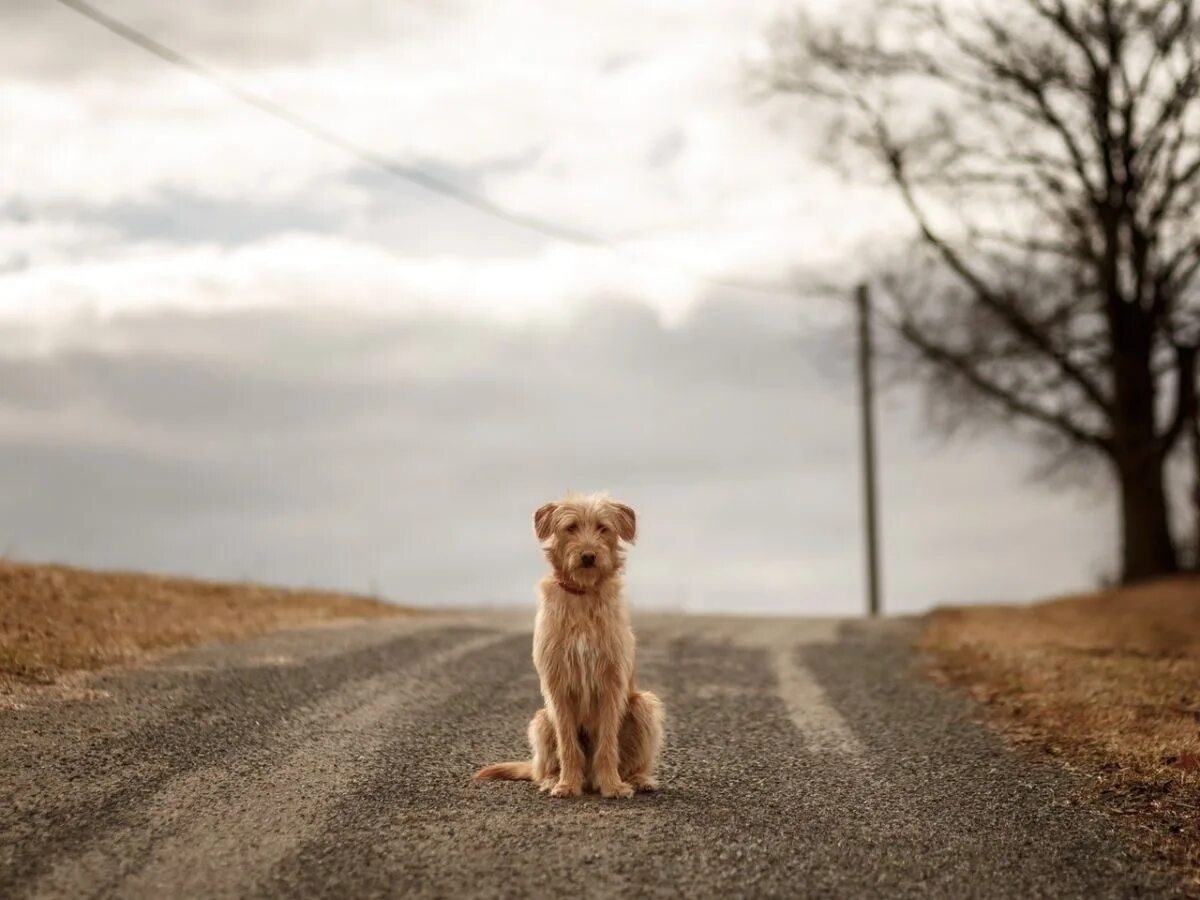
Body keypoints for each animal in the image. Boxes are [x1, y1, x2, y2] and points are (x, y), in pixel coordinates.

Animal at [472, 496, 667, 801]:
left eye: (603, 528)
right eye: (571, 527)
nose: (588, 556)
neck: (583, 595)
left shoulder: (612, 682)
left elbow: (607, 743)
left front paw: (612, 785)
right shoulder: (558, 683)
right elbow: (567, 743)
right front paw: (566, 785)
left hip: (644, 705)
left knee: (634, 760)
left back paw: (638, 779)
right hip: (542, 721)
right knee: (544, 766)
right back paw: (554, 778)